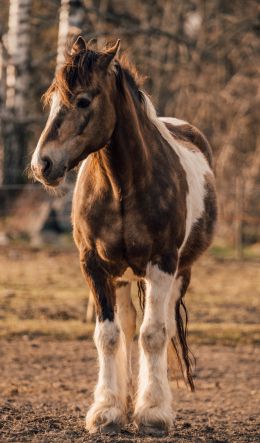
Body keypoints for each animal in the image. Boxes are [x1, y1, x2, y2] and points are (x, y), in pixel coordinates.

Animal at [30, 37, 217, 438]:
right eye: (51, 99)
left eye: (84, 101)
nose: (42, 165)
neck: (121, 188)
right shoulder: (94, 266)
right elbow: (109, 335)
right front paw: (107, 411)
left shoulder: (162, 264)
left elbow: (154, 334)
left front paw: (154, 414)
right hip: (122, 277)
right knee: (127, 328)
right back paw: (126, 402)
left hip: (178, 273)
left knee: (157, 328)